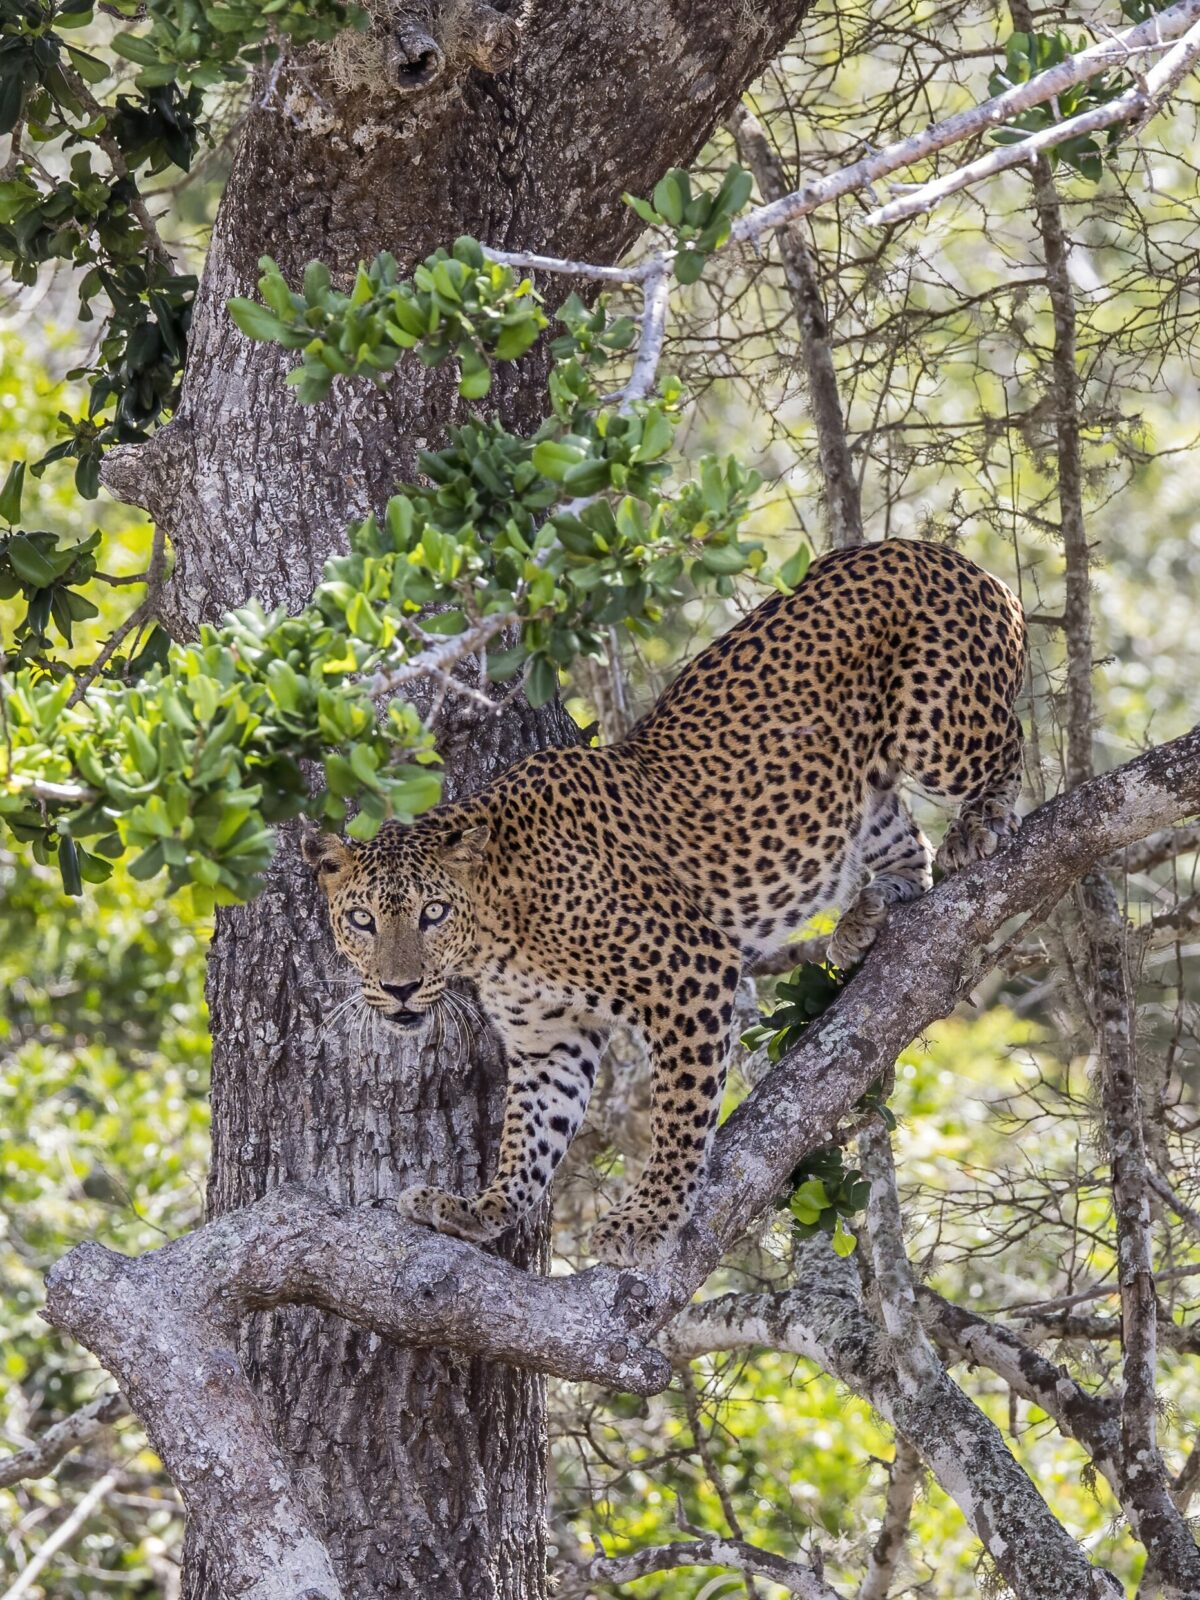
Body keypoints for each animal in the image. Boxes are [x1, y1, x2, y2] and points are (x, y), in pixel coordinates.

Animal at [303, 537, 1027, 1265]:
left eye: (434, 914)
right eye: (363, 920)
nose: (400, 988)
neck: (496, 934)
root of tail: (933, 550)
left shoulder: (690, 972)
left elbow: (681, 1110)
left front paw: (649, 1215)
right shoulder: (549, 1040)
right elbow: (530, 1134)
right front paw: (483, 1208)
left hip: (937, 723)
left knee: (1008, 743)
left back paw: (978, 825)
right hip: (861, 789)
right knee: (907, 848)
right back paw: (865, 919)